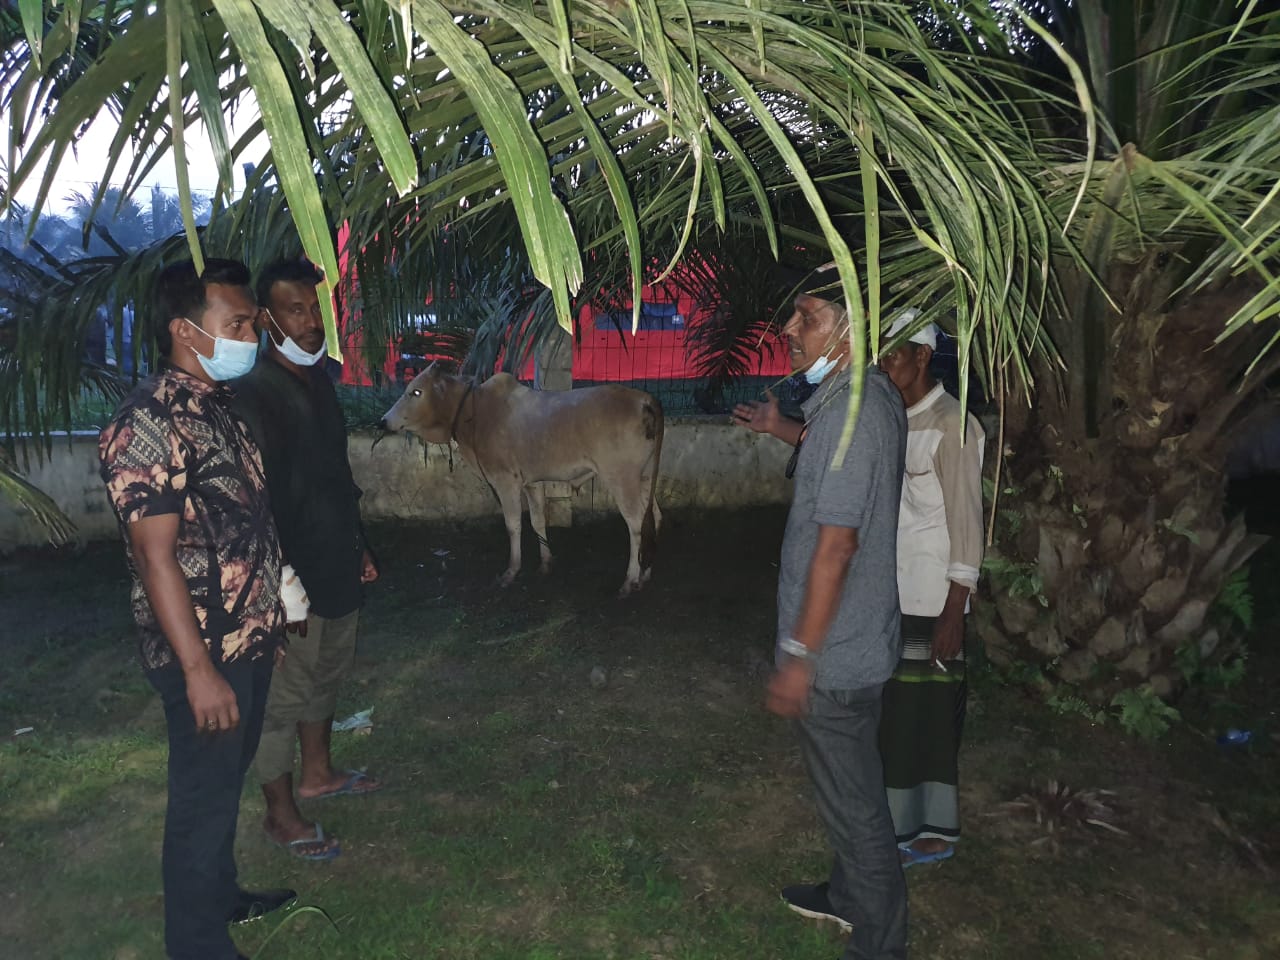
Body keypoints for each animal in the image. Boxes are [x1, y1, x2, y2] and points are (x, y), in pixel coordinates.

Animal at [381, 366, 664, 596]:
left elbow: (513, 525)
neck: (475, 411)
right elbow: (538, 521)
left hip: (621, 477)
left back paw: (630, 580)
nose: (383, 420)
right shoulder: (531, 482)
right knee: (654, 517)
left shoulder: (505, 480)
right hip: (644, 476)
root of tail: (644, 399)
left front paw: (511, 571)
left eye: (416, 392)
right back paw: (646, 574)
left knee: (635, 524)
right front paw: (546, 563)